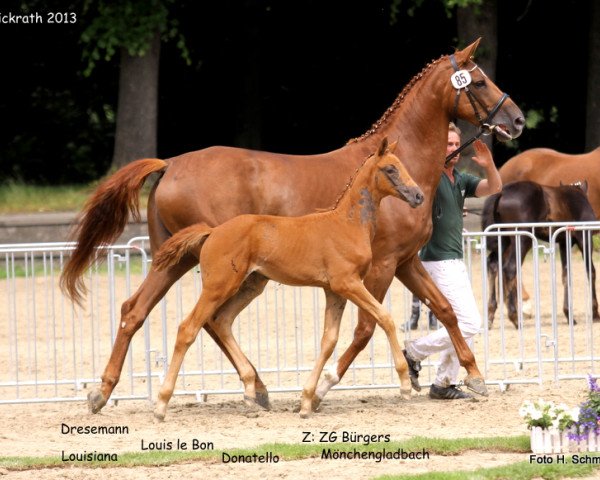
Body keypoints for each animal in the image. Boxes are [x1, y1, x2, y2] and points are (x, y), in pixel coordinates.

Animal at [58, 38, 524, 412]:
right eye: (478, 82)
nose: (517, 120)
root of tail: (169, 164)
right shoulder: (380, 267)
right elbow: (366, 327)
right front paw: (325, 387)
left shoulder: (406, 262)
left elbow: (445, 311)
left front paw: (474, 376)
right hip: (215, 270)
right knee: (199, 319)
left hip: (180, 261)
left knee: (139, 312)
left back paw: (109, 391)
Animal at [482, 181, 600, 330]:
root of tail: (503, 192)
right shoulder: (584, 239)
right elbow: (591, 272)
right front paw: (595, 313)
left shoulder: (563, 242)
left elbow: (566, 275)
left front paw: (569, 315)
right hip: (522, 239)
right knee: (510, 269)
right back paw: (515, 318)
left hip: (504, 241)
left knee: (493, 266)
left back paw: (490, 316)